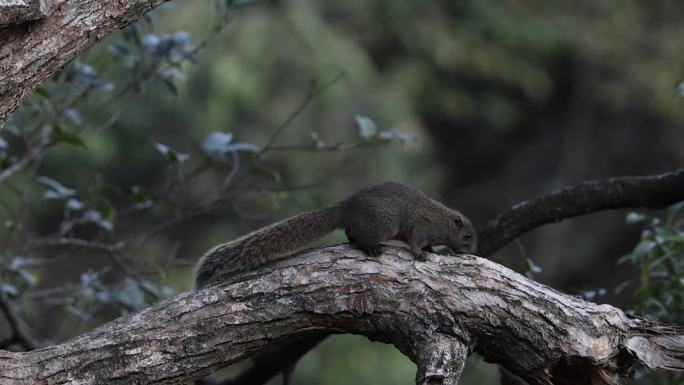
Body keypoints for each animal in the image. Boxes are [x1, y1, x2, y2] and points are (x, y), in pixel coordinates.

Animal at [195, 182, 478, 286]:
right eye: (467, 236)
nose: (472, 251)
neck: (443, 221)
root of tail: (347, 207)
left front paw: (432, 251)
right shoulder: (421, 226)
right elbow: (417, 242)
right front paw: (421, 254)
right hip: (382, 224)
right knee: (360, 238)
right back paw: (371, 247)